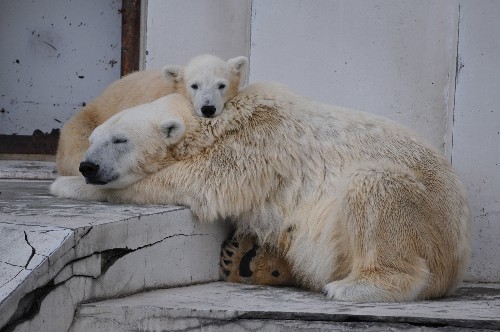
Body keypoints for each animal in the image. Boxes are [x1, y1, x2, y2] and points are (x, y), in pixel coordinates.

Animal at [51, 81, 472, 302]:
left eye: (119, 140)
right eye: (93, 139)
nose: (88, 166)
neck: (222, 113)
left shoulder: (258, 144)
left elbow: (202, 183)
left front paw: (67, 184)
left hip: (427, 217)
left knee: (375, 185)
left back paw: (356, 286)